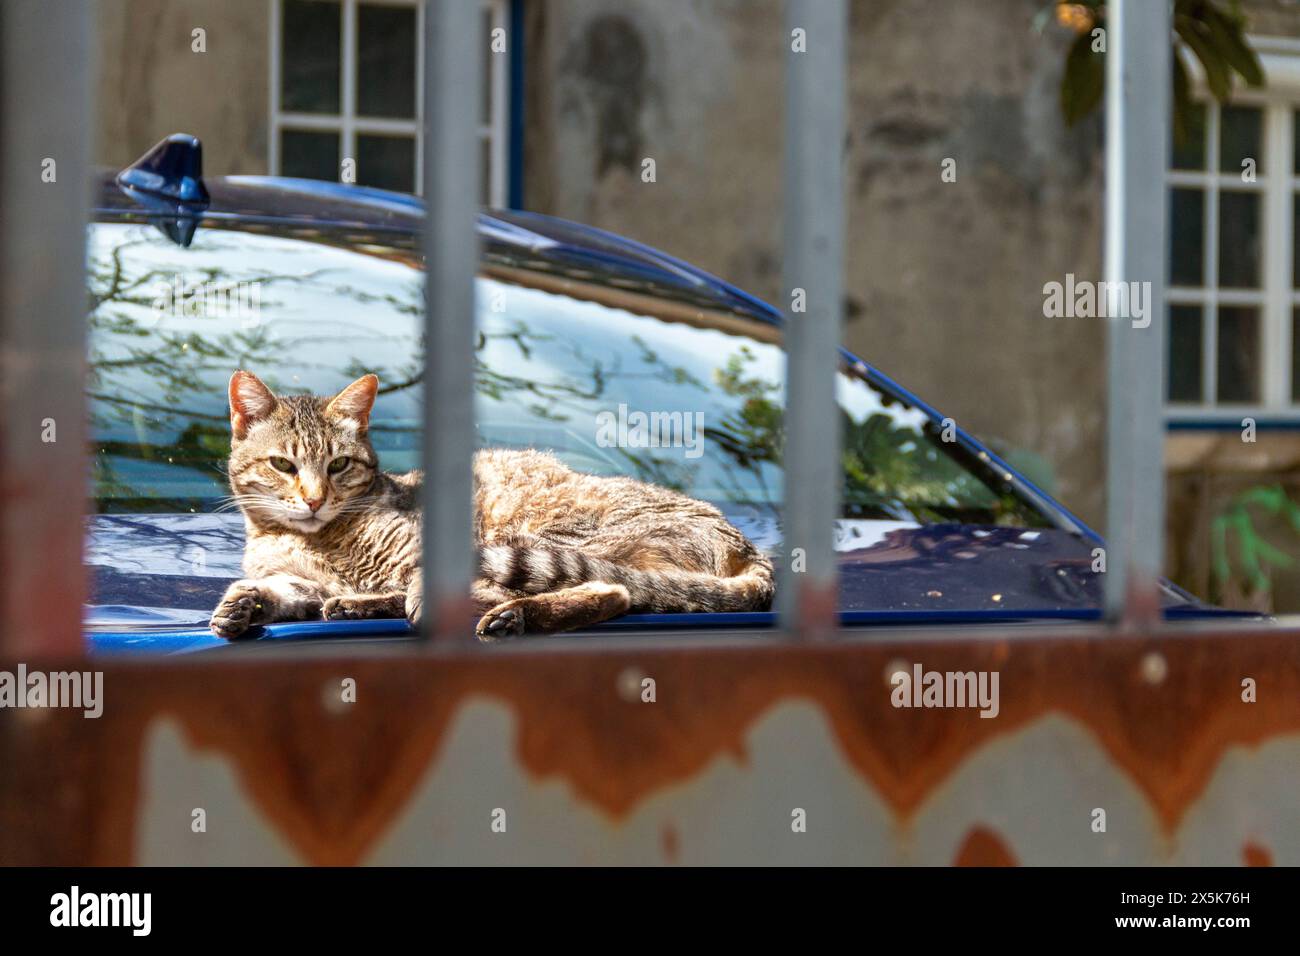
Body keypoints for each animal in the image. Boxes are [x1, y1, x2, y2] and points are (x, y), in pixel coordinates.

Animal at [211, 369, 769, 639]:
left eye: (338, 466)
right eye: (283, 465)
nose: (313, 500)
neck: (307, 538)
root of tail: (744, 543)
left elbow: (425, 578)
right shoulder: (298, 580)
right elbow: (273, 589)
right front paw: (241, 604)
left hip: (547, 533)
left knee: (610, 590)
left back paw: (509, 616)